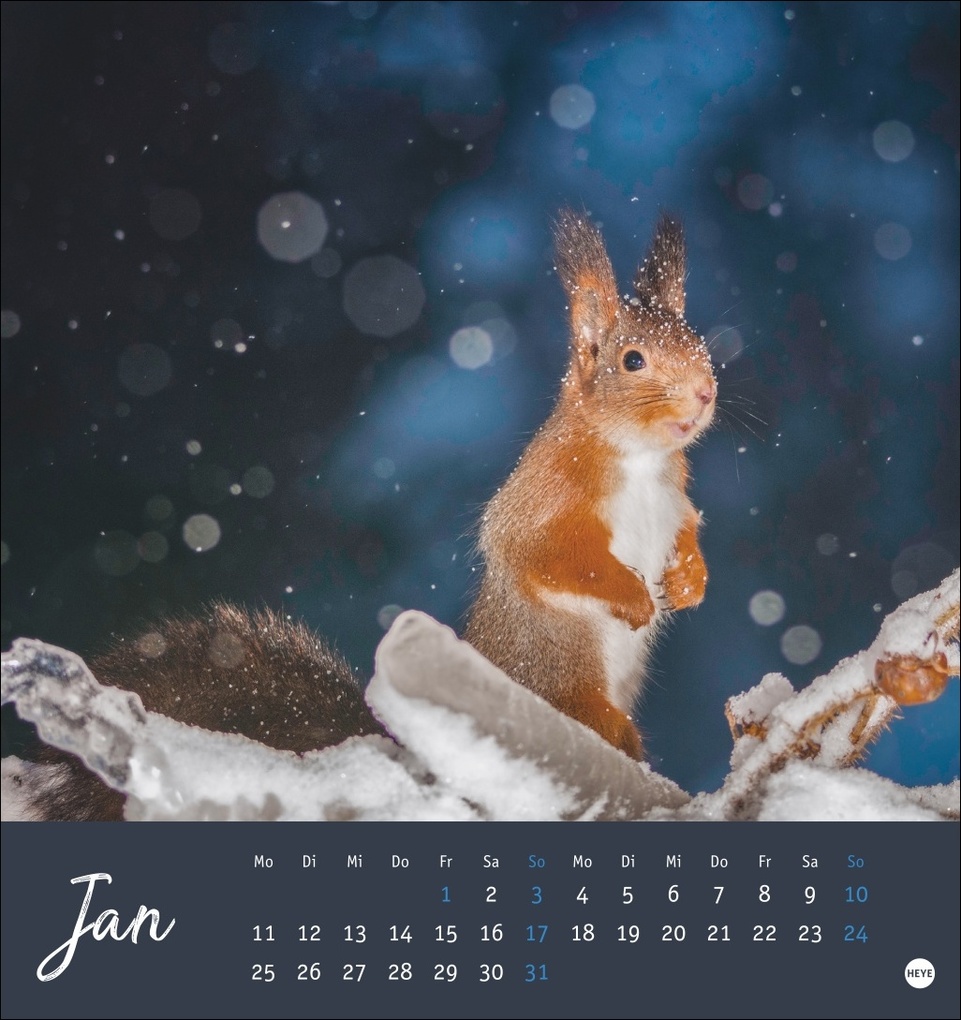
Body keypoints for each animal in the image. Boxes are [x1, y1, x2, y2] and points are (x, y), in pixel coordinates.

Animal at [22, 210, 714, 819]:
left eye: (700, 344)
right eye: (632, 361)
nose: (706, 394)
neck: (640, 460)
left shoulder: (677, 498)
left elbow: (686, 532)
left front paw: (687, 581)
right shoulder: (545, 498)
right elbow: (543, 556)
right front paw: (632, 598)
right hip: (572, 695)